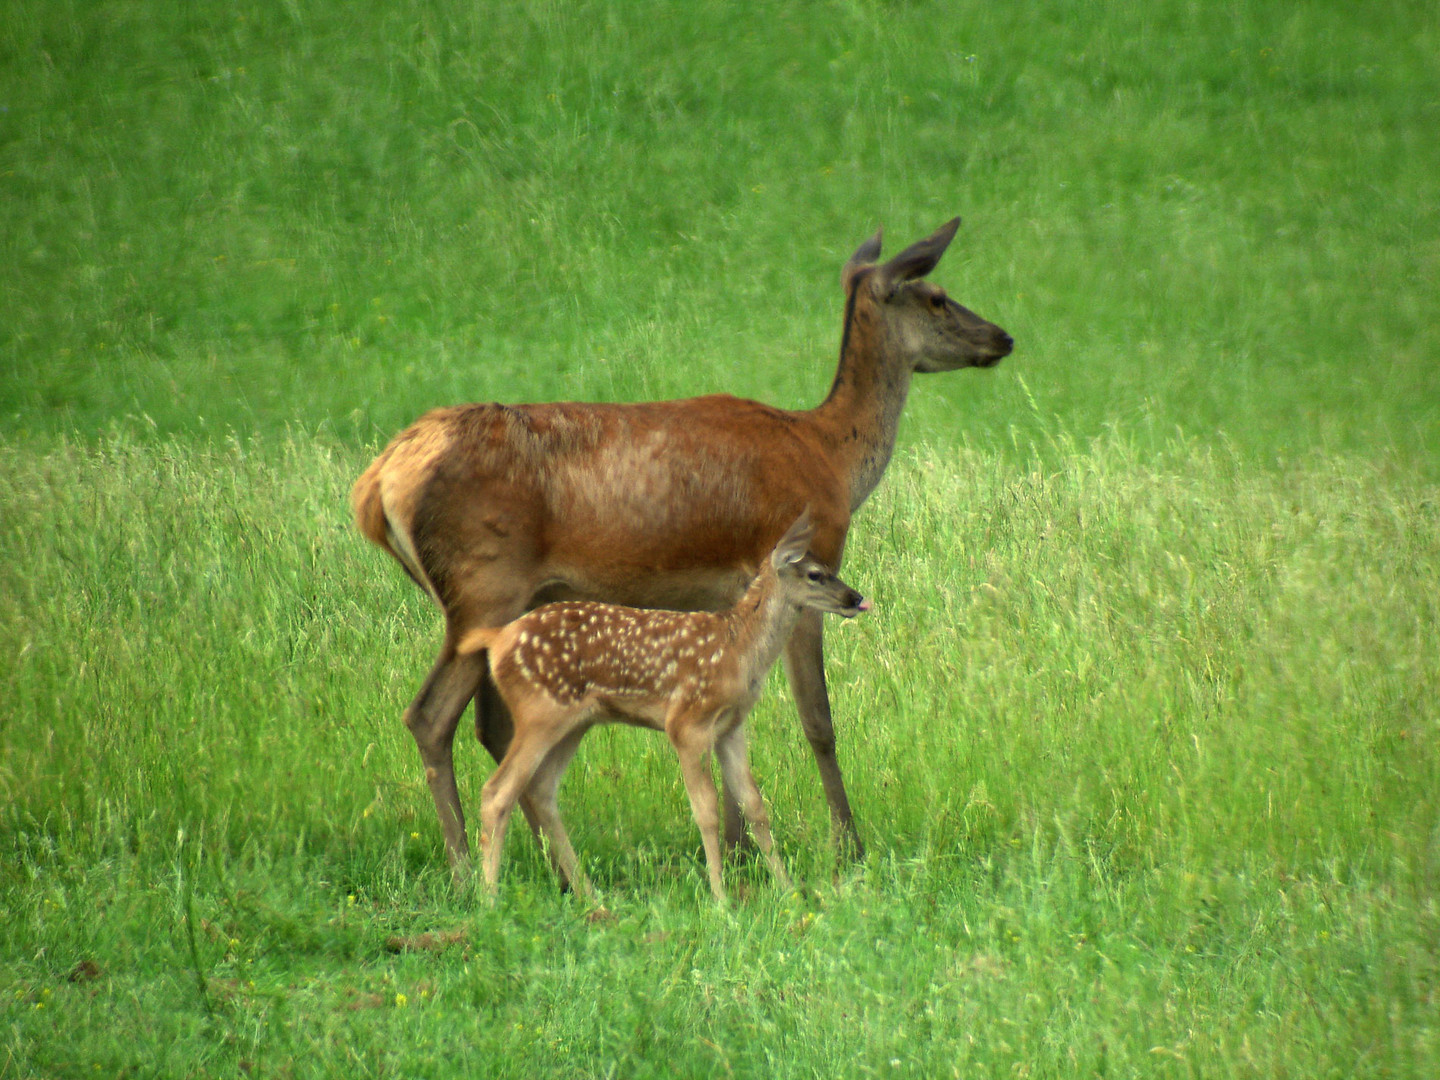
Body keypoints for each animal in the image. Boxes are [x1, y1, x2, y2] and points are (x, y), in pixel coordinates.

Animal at [354, 217, 1013, 881]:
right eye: (937, 296)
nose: (1003, 337)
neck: (832, 458)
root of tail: (379, 481)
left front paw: (743, 855)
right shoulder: (808, 565)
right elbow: (818, 721)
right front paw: (847, 847)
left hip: (508, 605)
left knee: (490, 725)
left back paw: (550, 873)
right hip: (482, 585)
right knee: (431, 716)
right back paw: (468, 871)